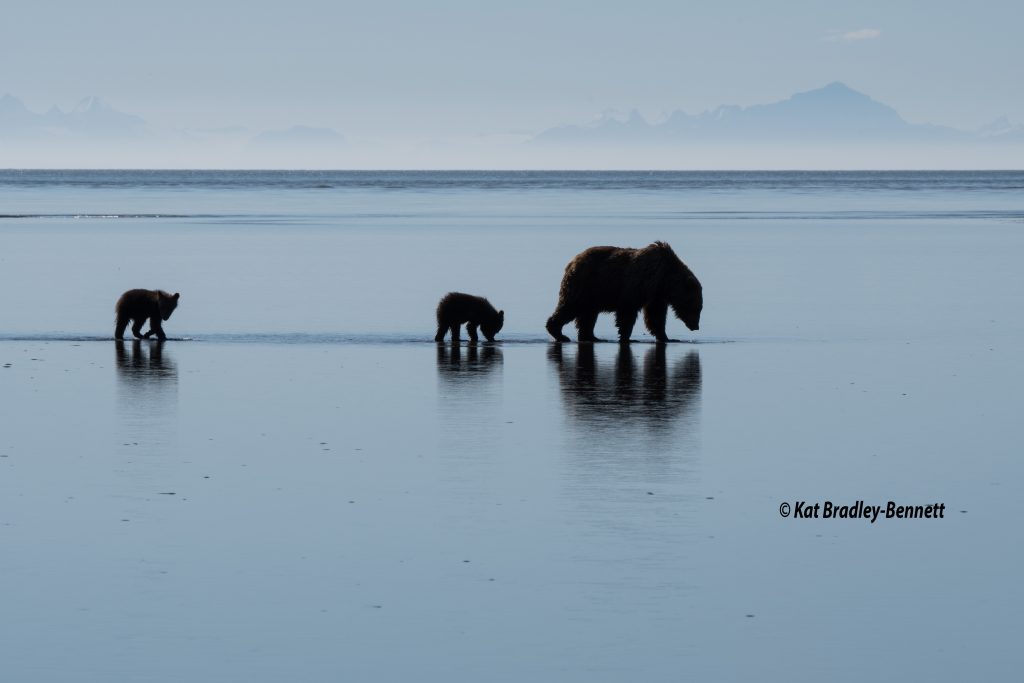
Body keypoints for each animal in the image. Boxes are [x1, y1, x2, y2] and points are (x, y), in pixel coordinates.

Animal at [544, 242, 704, 344]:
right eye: (696, 307)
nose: (696, 326)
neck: (664, 279)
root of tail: (572, 262)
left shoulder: (656, 296)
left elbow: (656, 316)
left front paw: (667, 337)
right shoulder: (637, 286)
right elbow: (628, 312)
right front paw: (628, 337)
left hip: (592, 293)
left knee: (588, 315)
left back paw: (592, 337)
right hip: (584, 285)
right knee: (570, 307)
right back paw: (559, 333)